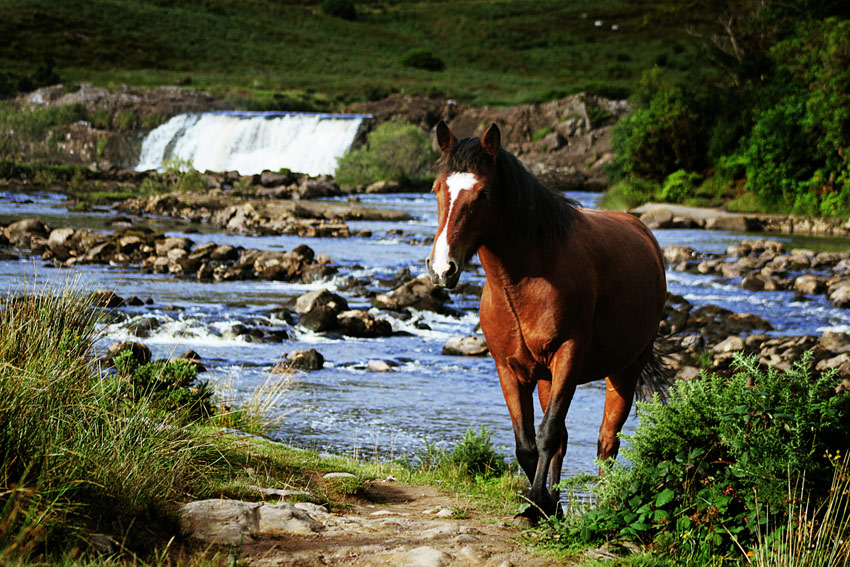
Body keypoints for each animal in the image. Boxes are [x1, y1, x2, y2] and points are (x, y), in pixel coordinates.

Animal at [424, 121, 668, 524]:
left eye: (483, 192)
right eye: (436, 189)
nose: (443, 268)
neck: (524, 282)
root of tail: (642, 231)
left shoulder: (569, 355)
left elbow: (548, 434)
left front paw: (540, 502)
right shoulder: (509, 369)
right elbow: (529, 444)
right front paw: (545, 504)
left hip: (625, 368)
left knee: (607, 441)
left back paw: (606, 504)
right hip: (545, 378)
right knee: (566, 441)